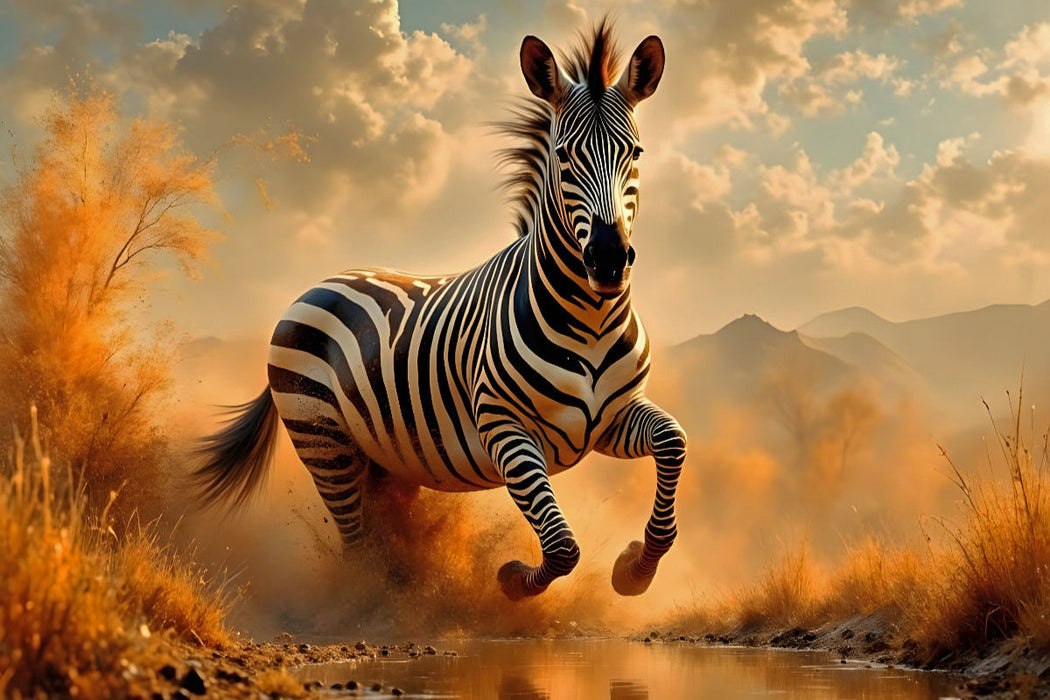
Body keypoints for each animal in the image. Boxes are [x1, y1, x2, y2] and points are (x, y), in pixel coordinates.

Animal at [196, 22, 687, 600]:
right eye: (564, 155)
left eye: (635, 152)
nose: (608, 259)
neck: (589, 318)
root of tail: (314, 287)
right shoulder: (504, 427)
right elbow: (562, 546)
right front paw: (514, 580)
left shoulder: (608, 420)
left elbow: (672, 441)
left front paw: (637, 569)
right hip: (324, 440)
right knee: (355, 546)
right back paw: (371, 602)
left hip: (388, 458)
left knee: (378, 534)